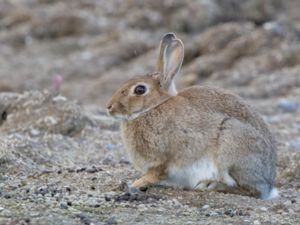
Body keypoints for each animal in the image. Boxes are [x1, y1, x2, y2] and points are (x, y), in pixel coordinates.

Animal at [106, 33, 278, 199]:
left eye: (140, 90)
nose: (109, 107)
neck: (153, 108)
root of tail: (268, 184)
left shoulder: (164, 159)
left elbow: (155, 174)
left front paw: (136, 183)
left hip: (231, 145)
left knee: (250, 190)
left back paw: (210, 185)